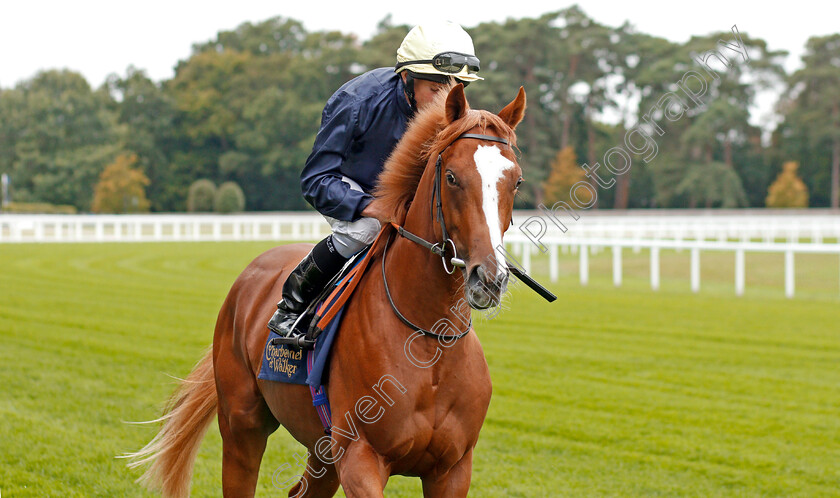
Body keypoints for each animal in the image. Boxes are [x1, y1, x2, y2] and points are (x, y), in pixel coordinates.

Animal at [127, 83, 524, 496]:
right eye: (451, 177)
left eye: (516, 181)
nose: (489, 277)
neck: (427, 340)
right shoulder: (360, 456)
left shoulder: (453, 467)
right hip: (242, 424)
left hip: (321, 450)